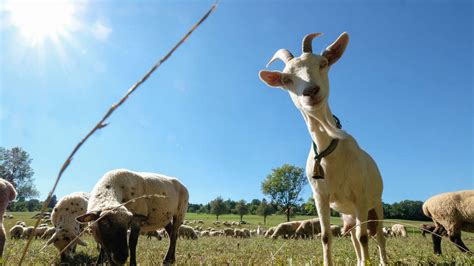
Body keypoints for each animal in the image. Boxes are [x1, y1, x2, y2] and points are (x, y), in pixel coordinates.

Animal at [262, 32, 386, 264]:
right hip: (349, 214)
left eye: (323, 63)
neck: (329, 149)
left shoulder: (361, 195)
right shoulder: (321, 196)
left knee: (378, 237)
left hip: (376, 204)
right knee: (353, 237)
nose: (310, 91)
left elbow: (364, 237)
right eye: (286, 79)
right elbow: (326, 237)